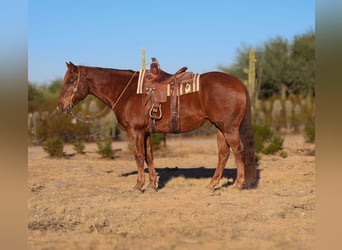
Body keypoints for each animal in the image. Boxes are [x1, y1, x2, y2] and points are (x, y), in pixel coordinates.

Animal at [57, 62, 256, 191]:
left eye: (71, 81)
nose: (60, 106)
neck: (128, 92)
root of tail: (239, 83)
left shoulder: (135, 132)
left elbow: (139, 157)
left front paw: (138, 185)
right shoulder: (145, 133)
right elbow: (149, 157)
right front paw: (153, 184)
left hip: (229, 129)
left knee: (238, 150)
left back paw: (238, 184)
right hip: (220, 128)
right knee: (223, 154)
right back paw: (212, 184)